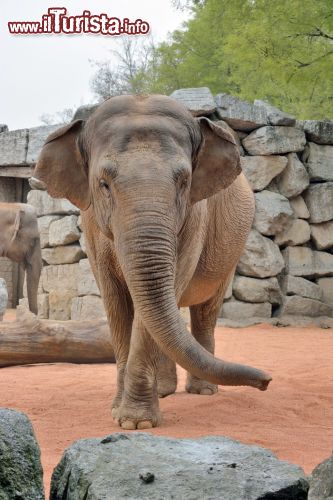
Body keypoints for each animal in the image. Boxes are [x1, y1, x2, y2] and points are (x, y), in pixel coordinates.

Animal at [30, 94, 270, 430]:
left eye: (184, 182)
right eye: (103, 184)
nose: (266, 381)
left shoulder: (195, 217)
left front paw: (135, 423)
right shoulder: (91, 226)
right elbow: (116, 302)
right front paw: (118, 413)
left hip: (232, 247)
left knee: (205, 309)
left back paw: (202, 392)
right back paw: (167, 391)